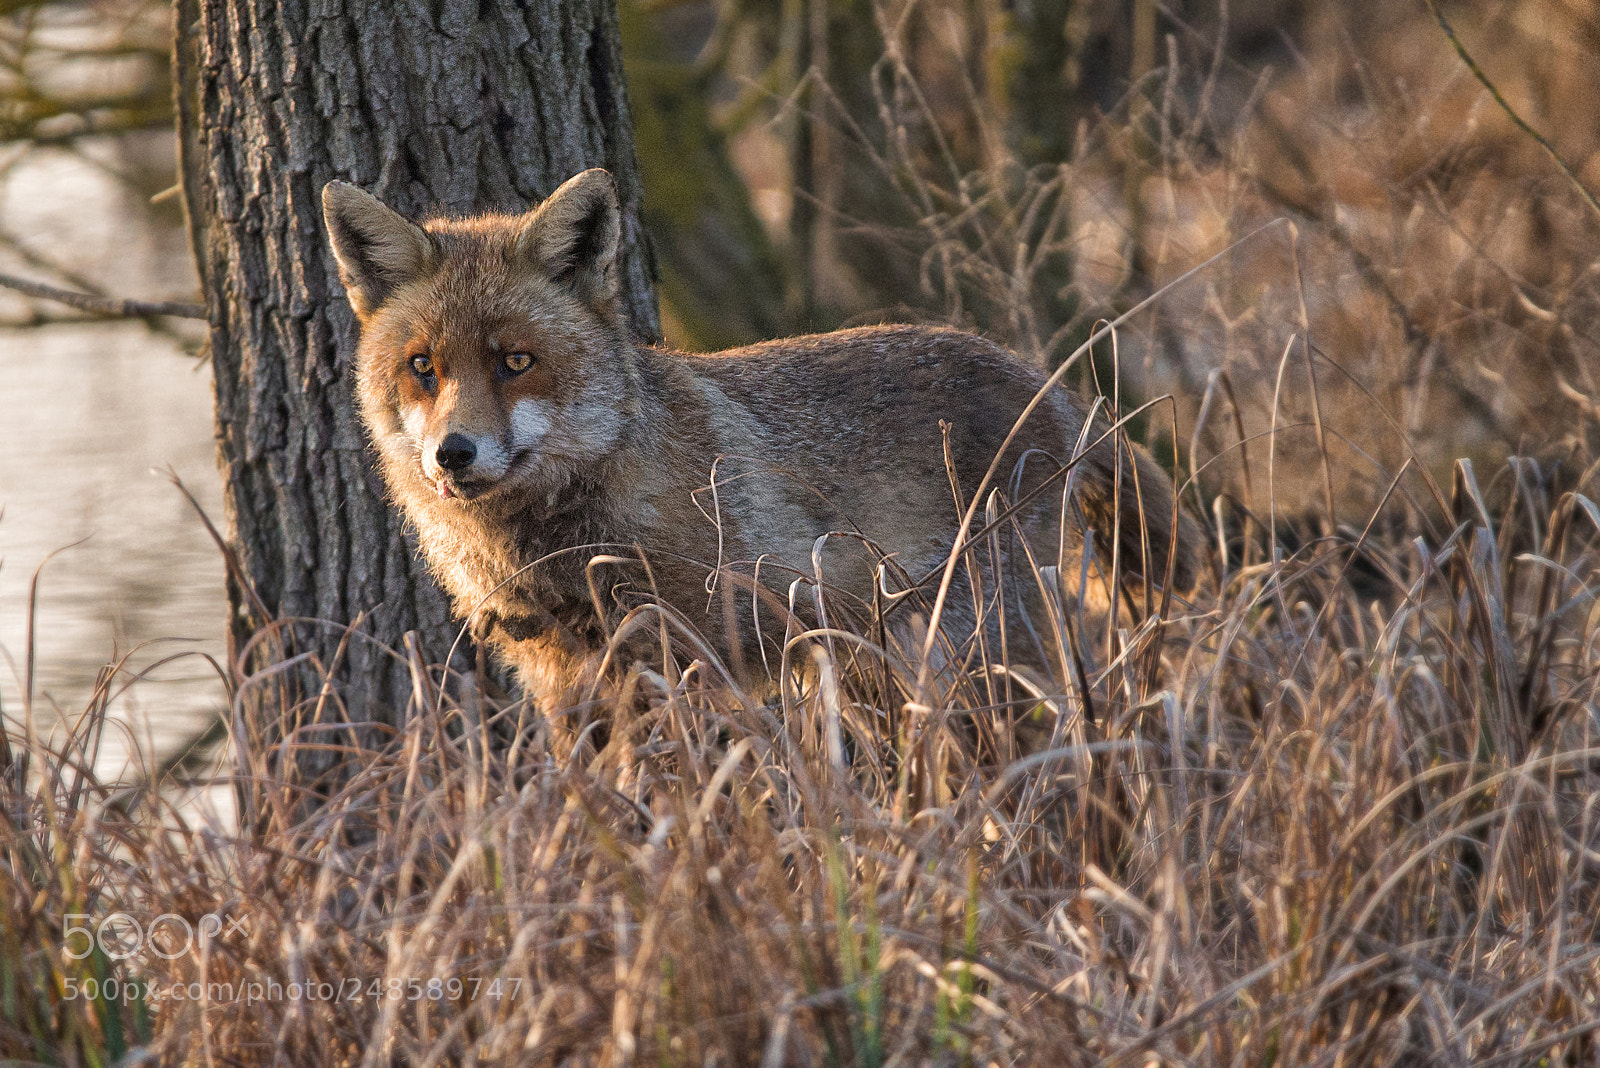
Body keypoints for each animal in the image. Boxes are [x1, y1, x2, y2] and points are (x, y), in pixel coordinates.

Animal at [322, 169, 1200, 727]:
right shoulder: (560, 677)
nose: (454, 454)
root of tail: (1043, 378)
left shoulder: (686, 660)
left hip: (979, 651)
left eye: (514, 362)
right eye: (423, 369)